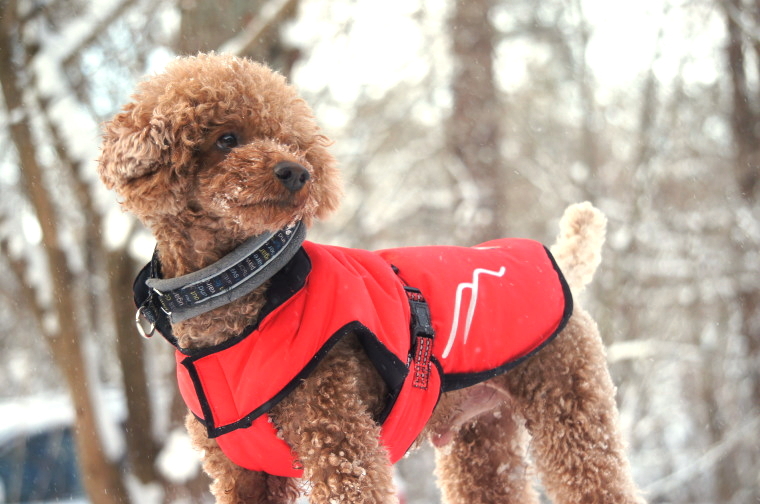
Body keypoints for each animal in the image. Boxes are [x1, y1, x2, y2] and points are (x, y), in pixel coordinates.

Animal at [98, 54, 644, 504]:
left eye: (290, 139)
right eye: (226, 137)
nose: (297, 171)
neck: (241, 287)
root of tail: (558, 260)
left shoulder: (340, 442)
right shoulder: (241, 471)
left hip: (572, 413)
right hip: (483, 436)